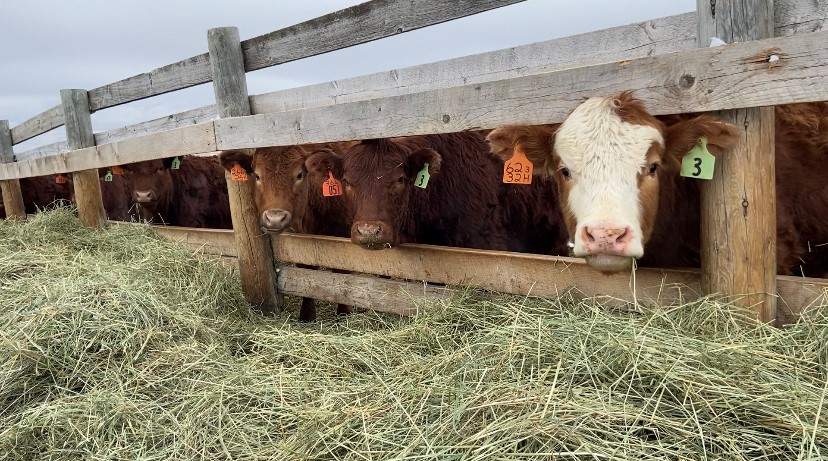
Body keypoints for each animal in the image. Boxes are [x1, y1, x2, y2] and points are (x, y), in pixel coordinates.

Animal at [219, 142, 356, 321]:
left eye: (299, 174)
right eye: (257, 176)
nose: (275, 218)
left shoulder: (343, 234)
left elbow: (342, 273)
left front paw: (343, 314)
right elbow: (304, 271)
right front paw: (307, 315)